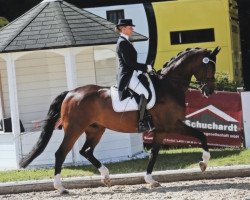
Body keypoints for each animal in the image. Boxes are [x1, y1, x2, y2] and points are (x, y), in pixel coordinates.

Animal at [19, 46, 221, 194]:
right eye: (209, 66)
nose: (209, 91)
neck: (169, 86)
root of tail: (71, 92)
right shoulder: (172, 125)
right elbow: (201, 135)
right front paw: (203, 163)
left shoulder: (161, 130)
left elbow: (154, 154)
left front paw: (150, 180)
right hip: (74, 129)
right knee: (61, 153)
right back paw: (61, 188)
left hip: (96, 129)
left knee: (86, 151)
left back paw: (106, 177)